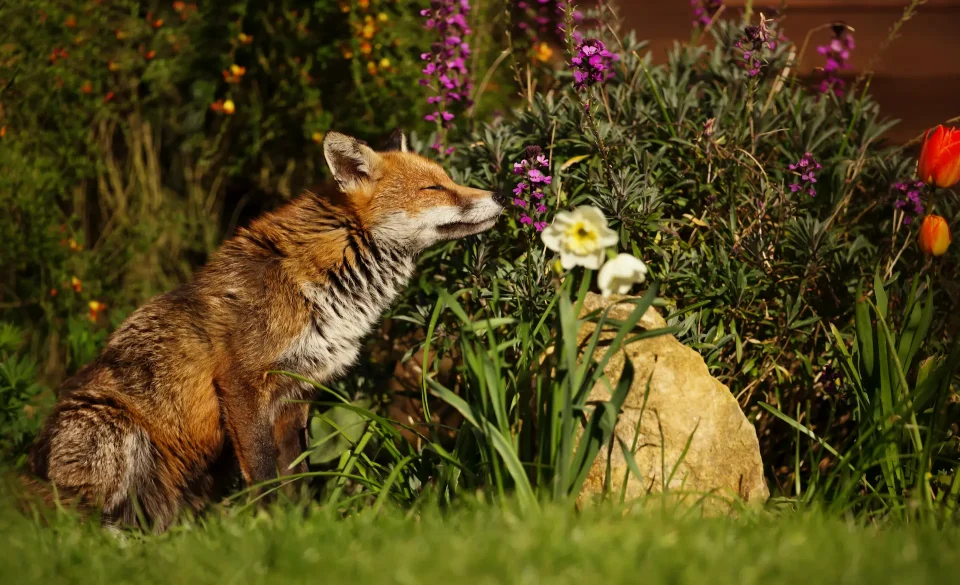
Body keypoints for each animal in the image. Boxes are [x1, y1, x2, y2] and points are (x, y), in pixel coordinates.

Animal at [24, 130, 505, 531]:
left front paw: (302, 529)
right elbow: (264, 474)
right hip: (116, 436)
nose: (500, 191)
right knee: (73, 526)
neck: (322, 281)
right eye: (433, 189)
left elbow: (298, 476)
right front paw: (268, 528)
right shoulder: (242, 384)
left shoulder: (296, 392)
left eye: (448, 179)